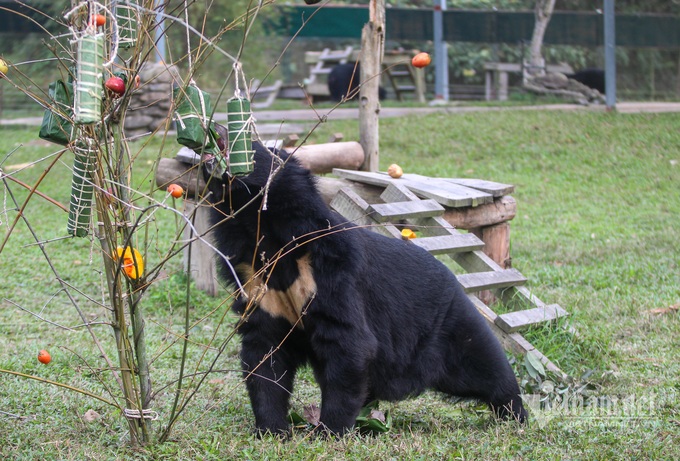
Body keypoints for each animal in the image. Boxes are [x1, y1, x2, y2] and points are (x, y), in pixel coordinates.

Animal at [201, 140, 524, 434]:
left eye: (249, 143)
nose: (214, 134)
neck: (267, 234)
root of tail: (456, 283)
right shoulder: (257, 282)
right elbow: (264, 352)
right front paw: (271, 429)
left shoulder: (333, 272)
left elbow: (349, 341)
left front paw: (328, 431)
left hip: (451, 331)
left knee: (487, 368)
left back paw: (515, 414)